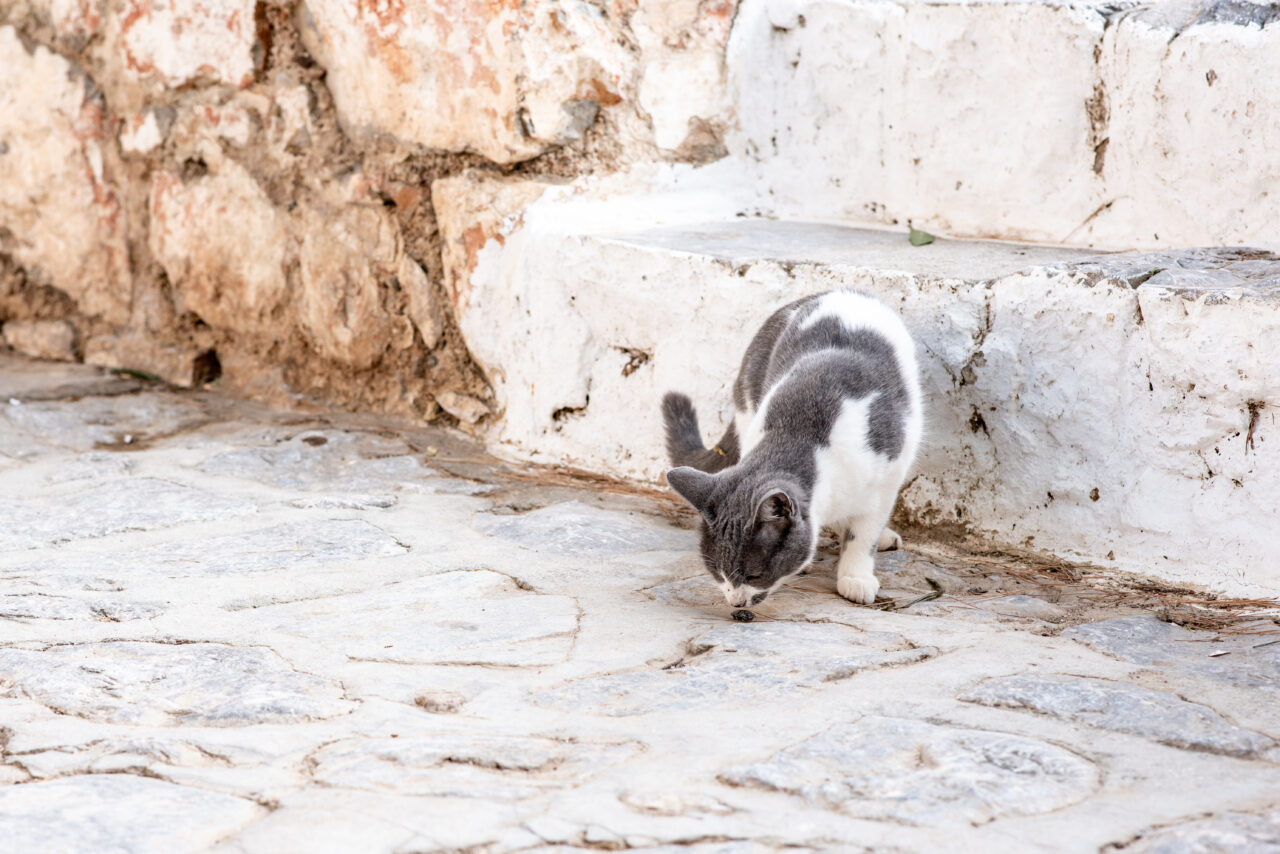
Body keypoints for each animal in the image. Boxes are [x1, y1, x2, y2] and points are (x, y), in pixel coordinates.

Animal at [660, 291, 921, 606]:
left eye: (754, 575)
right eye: (718, 574)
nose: (736, 602)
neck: (799, 435)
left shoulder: (887, 476)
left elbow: (863, 534)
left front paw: (855, 576)